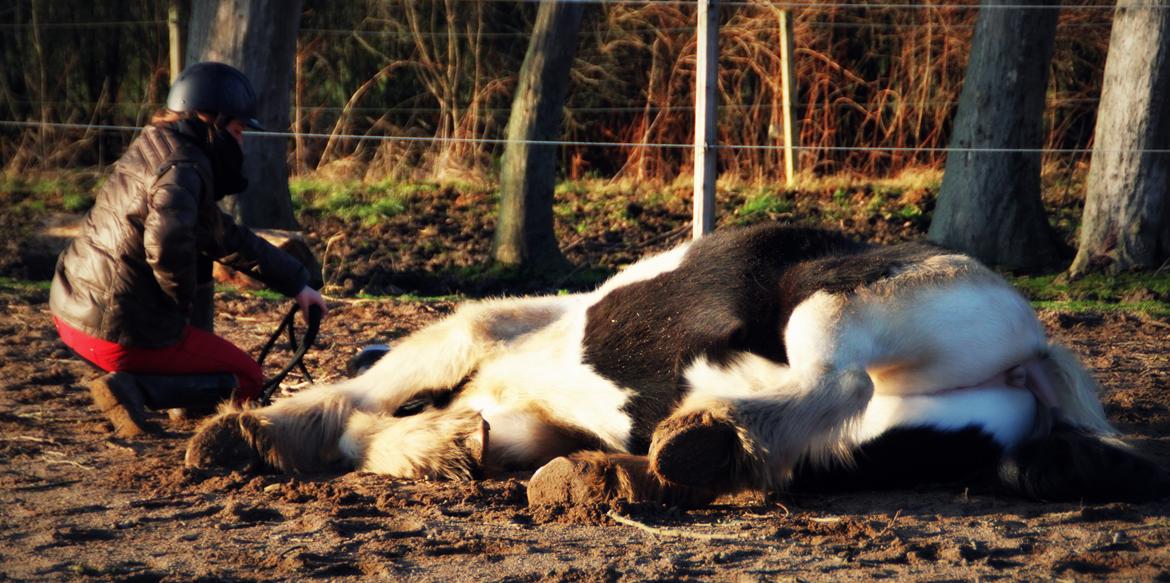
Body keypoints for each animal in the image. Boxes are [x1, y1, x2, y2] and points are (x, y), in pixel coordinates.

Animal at [187, 223, 1165, 505]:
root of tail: (1036, 347)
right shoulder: (521, 415)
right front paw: (443, 448)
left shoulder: (488, 339)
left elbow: (369, 395)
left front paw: (252, 430)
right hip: (892, 429)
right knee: (822, 421)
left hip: (830, 298)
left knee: (829, 380)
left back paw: (704, 443)